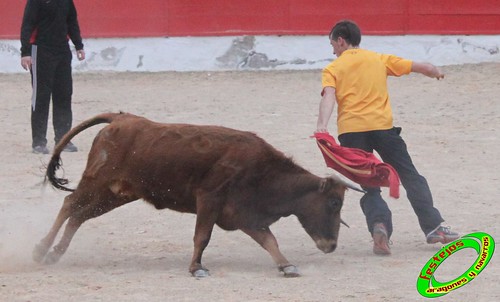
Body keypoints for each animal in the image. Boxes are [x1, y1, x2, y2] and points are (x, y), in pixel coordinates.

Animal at [34, 112, 360, 278]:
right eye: (334, 203)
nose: (331, 245)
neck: (264, 172)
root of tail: (121, 119)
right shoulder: (209, 200)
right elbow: (202, 236)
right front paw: (196, 268)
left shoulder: (245, 215)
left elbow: (269, 240)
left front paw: (286, 265)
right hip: (97, 181)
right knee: (69, 205)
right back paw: (41, 249)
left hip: (116, 194)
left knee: (79, 215)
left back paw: (55, 253)